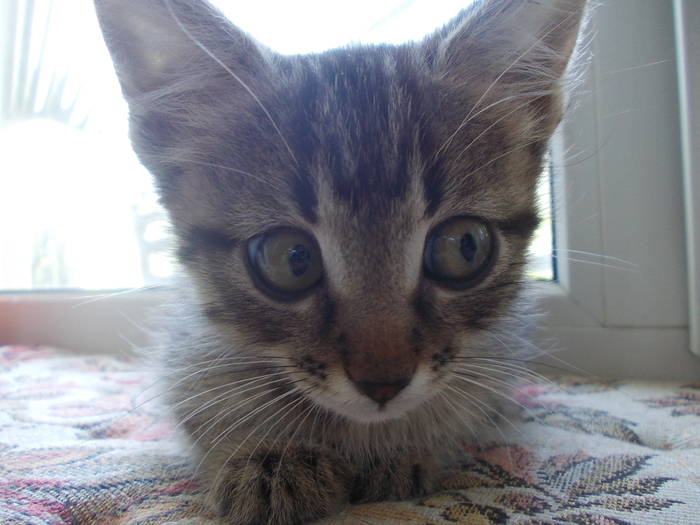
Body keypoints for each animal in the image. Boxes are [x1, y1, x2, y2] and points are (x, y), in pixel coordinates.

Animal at [93, 0, 584, 520]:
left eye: (464, 246)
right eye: (291, 259)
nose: (384, 383)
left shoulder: (495, 357)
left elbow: (467, 402)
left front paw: (399, 448)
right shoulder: (186, 350)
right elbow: (200, 403)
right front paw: (267, 455)